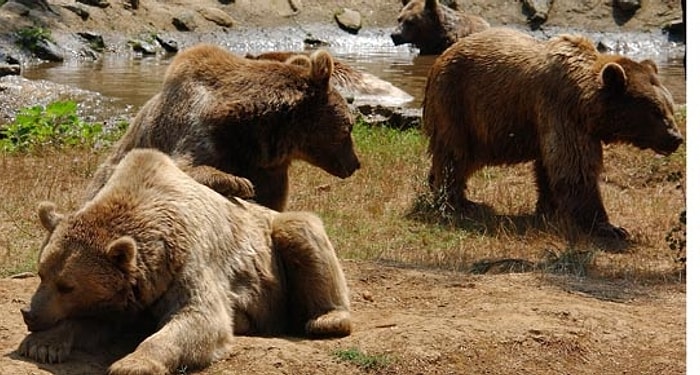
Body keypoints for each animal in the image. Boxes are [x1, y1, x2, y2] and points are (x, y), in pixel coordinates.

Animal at [19, 148, 352, 374]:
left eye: (67, 286)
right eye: (42, 274)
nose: (29, 314)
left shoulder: (187, 263)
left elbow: (199, 318)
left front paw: (132, 363)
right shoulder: (129, 295)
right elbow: (94, 322)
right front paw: (43, 345)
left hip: (275, 243)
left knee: (301, 231)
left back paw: (327, 318)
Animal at [85, 44, 360, 212]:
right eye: (349, 127)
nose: (356, 164)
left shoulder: (270, 172)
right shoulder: (200, 131)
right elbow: (182, 167)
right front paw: (237, 182)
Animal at [422, 27, 684, 241]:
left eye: (669, 107)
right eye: (656, 111)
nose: (676, 138)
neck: (585, 104)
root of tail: (439, 59)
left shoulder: (549, 123)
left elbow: (549, 168)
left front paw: (550, 209)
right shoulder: (561, 111)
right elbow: (574, 167)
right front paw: (609, 227)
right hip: (459, 103)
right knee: (454, 154)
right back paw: (456, 202)